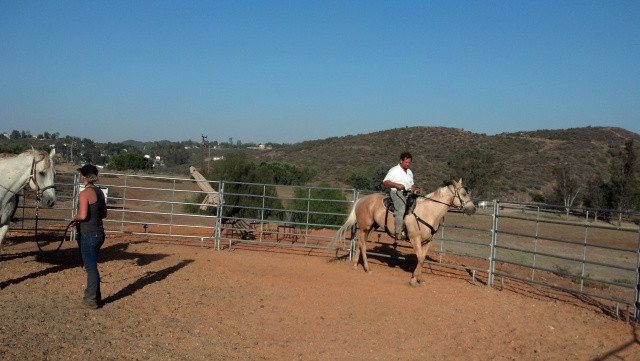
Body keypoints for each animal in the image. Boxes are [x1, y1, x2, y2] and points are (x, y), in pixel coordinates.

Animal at [330, 179, 476, 286]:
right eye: (464, 194)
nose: (473, 209)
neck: (429, 212)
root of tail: (361, 200)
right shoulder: (414, 238)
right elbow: (420, 258)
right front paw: (413, 280)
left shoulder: (428, 241)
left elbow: (422, 258)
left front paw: (420, 279)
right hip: (365, 227)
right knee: (362, 244)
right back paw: (367, 268)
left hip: (371, 227)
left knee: (361, 243)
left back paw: (357, 265)